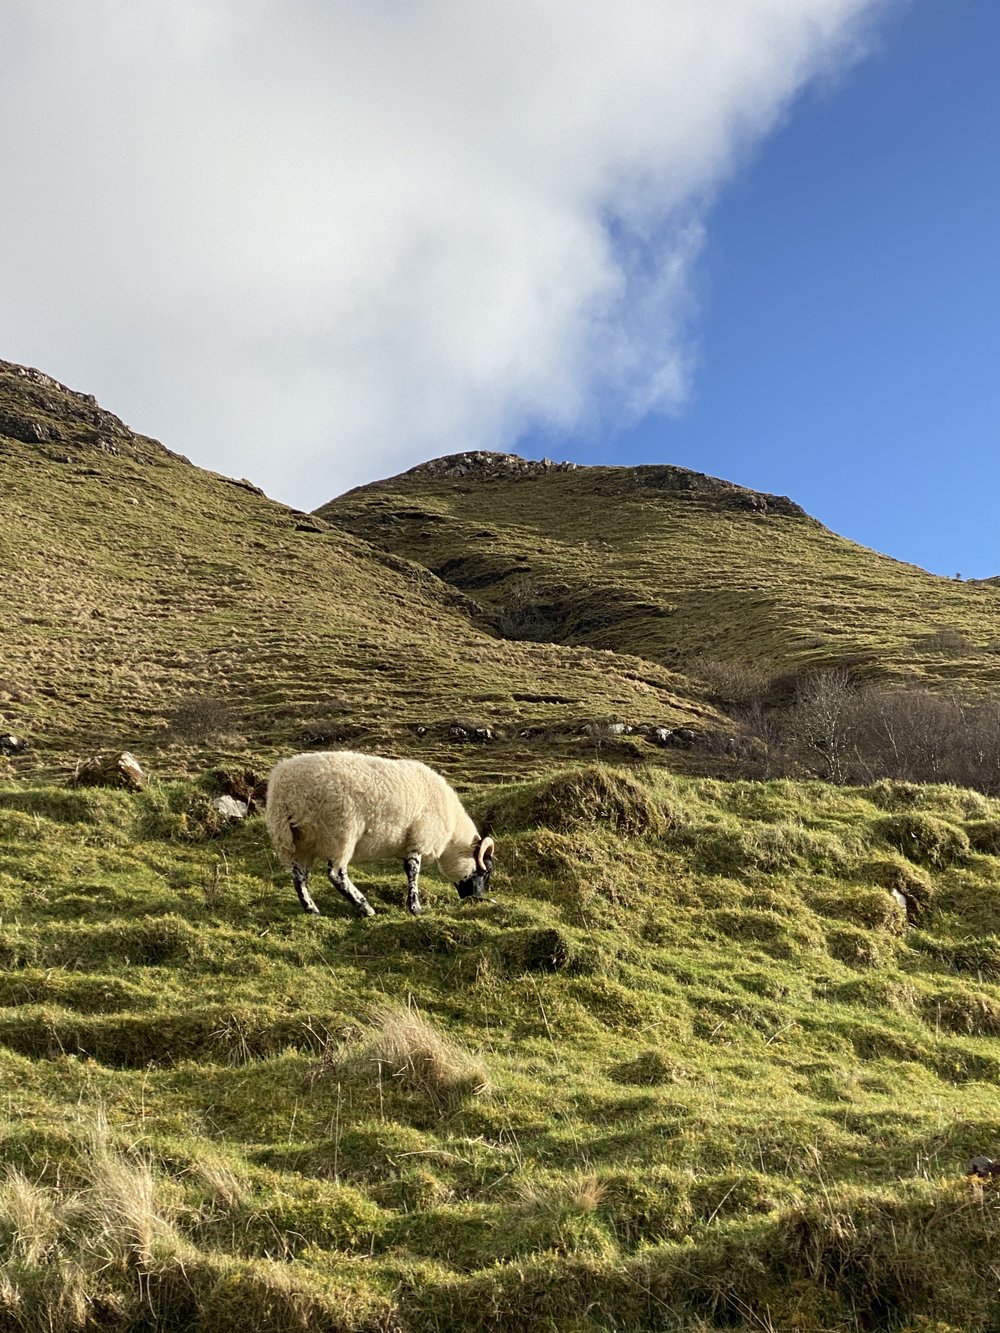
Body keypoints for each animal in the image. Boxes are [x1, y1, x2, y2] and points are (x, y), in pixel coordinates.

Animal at [266, 751, 498, 917]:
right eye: (486, 871)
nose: (477, 899)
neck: (451, 837)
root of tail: (285, 791)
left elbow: (407, 869)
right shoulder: (419, 839)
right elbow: (413, 872)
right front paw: (415, 908)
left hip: (300, 840)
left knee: (299, 876)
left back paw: (312, 910)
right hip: (340, 833)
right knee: (336, 874)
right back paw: (365, 908)